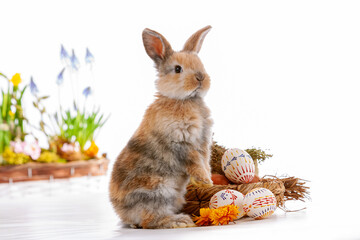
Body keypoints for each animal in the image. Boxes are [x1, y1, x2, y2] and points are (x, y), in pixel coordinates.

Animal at [109, 25, 214, 230]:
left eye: (201, 63)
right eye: (178, 69)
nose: (200, 78)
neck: (184, 100)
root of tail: (122, 213)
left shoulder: (203, 144)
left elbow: (205, 163)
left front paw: (209, 182)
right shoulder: (183, 144)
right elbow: (196, 165)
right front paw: (206, 182)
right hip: (157, 191)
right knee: (150, 220)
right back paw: (180, 221)